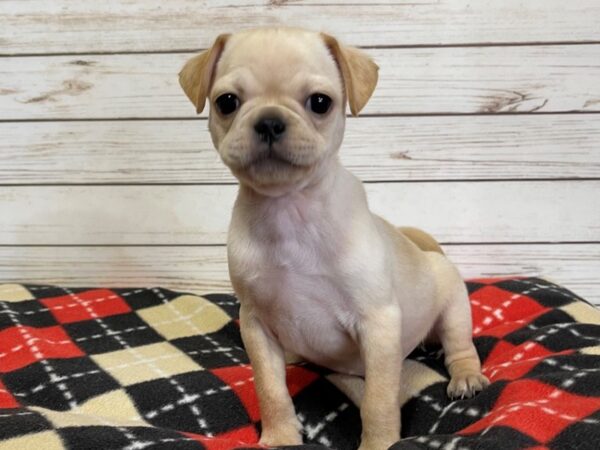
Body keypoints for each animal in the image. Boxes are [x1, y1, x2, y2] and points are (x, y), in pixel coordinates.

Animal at [178, 27, 488, 450]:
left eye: (320, 103)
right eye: (227, 103)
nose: (270, 121)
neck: (288, 209)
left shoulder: (377, 323)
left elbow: (378, 401)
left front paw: (378, 443)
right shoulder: (256, 324)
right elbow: (270, 389)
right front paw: (279, 437)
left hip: (453, 304)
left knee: (458, 344)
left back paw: (466, 376)